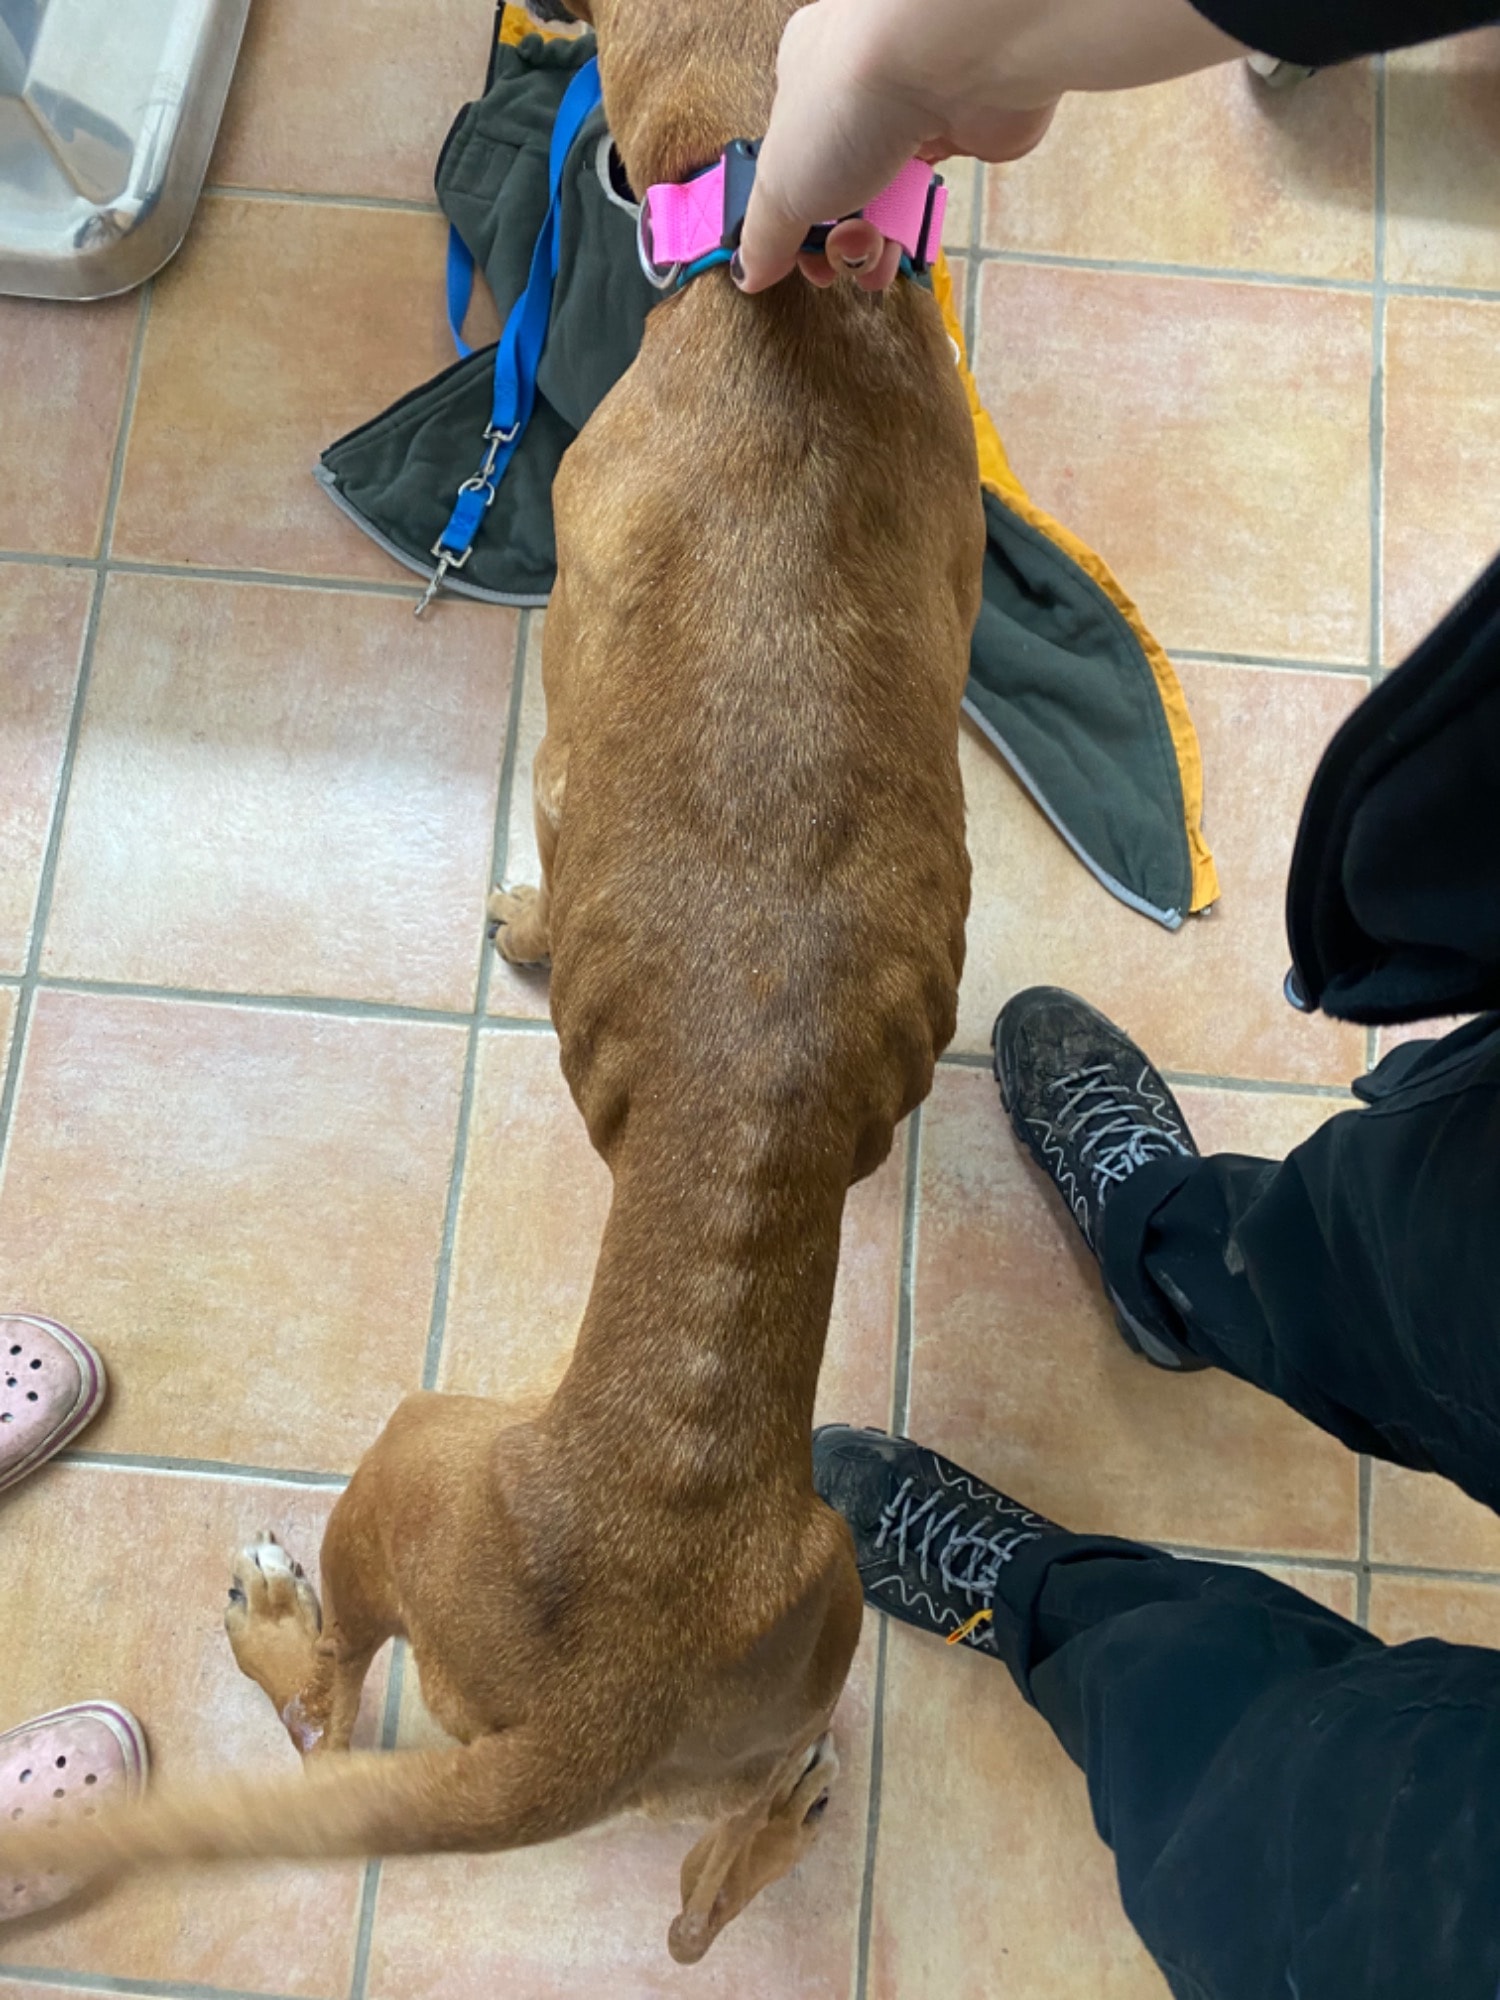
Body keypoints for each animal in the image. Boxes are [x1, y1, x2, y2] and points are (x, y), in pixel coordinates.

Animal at [0, 0, 983, 1962]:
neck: (776, 263)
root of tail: (597, 1722)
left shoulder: (564, 700)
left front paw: (526, 926)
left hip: (407, 1462)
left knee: (325, 1712)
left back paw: (269, 1626)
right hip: (805, 1659)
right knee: (725, 1867)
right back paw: (778, 1824)